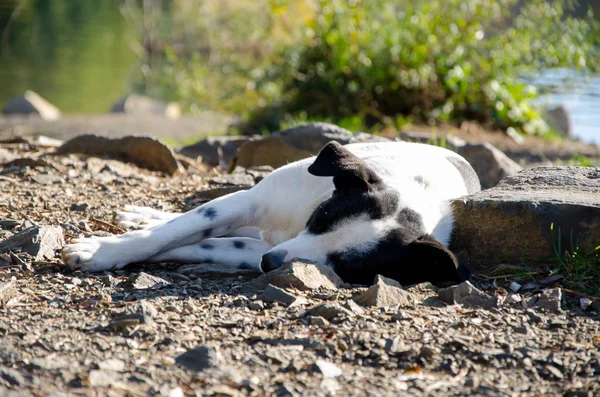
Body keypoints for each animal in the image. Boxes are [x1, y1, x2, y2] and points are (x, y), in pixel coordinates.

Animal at [63, 142, 480, 284]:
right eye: (321, 218)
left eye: (344, 265)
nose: (270, 265)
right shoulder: (249, 202)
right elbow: (174, 230)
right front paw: (104, 250)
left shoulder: (257, 250)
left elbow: (198, 243)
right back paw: (142, 215)